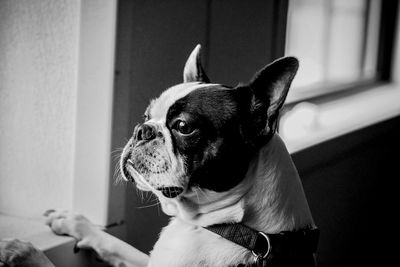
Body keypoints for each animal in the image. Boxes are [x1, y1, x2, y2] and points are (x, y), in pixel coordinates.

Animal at [0, 45, 318, 266]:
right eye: (146, 116)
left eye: (183, 127)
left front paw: (22, 250)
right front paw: (75, 222)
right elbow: (116, 244)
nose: (142, 130)